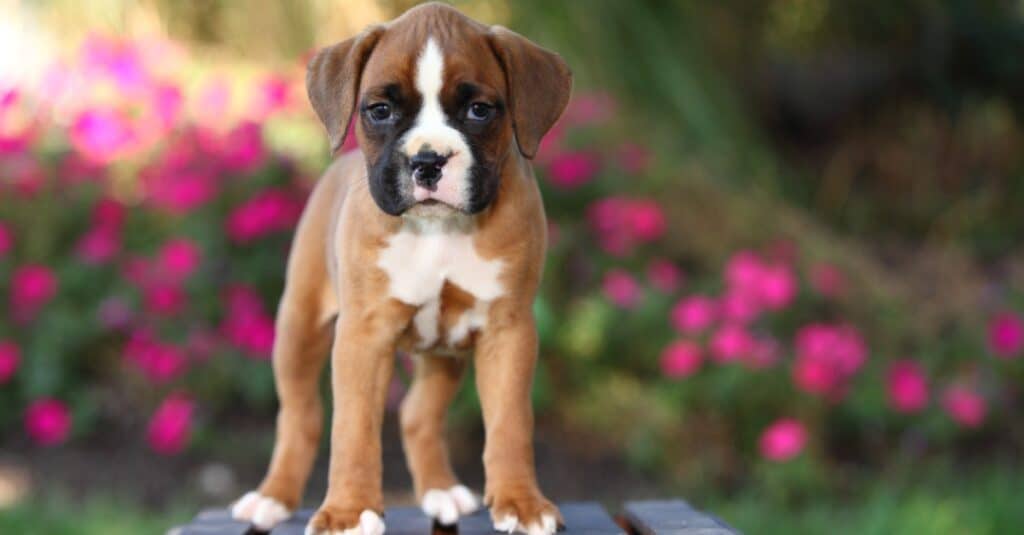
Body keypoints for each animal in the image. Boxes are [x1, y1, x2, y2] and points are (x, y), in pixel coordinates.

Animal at [227, 3, 573, 532]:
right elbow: (353, 428)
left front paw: (521, 502)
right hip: (298, 329)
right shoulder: (362, 337)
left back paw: (440, 491)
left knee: (415, 413)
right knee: (300, 417)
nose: (428, 161)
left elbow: (511, 422)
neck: (437, 230)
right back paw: (273, 497)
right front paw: (349, 511)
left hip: (444, 351)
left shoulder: (508, 331)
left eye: (479, 110)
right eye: (380, 111)